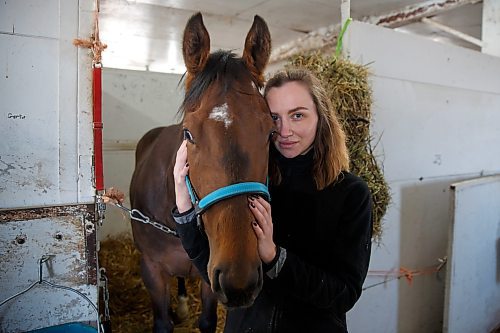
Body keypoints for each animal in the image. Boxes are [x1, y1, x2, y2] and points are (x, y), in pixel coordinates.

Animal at [127, 13, 272, 332]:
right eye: (188, 134)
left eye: (271, 132)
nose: (239, 279)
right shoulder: (151, 270)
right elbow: (162, 323)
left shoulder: (210, 278)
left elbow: (206, 321)